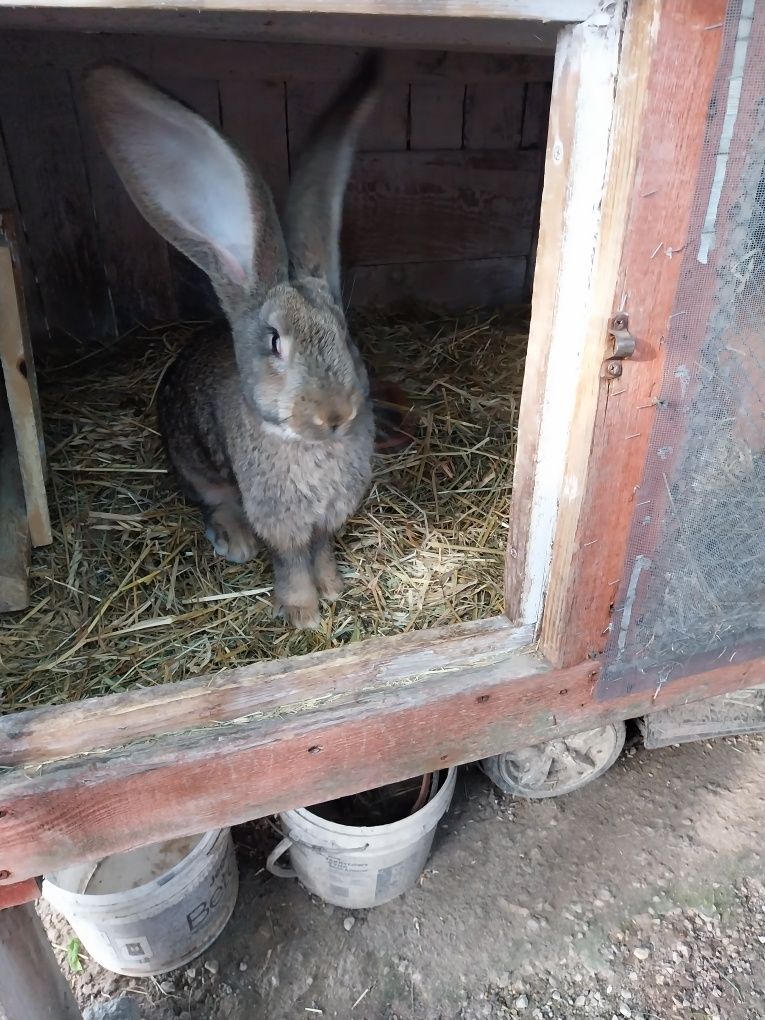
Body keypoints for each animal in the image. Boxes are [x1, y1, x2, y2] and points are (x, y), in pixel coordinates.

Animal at [84, 59, 381, 628]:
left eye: (345, 334)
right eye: (274, 342)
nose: (336, 415)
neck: (307, 446)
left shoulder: (325, 519)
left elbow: (321, 550)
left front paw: (333, 591)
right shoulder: (281, 520)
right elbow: (291, 562)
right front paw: (304, 614)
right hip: (195, 464)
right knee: (215, 500)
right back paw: (236, 541)